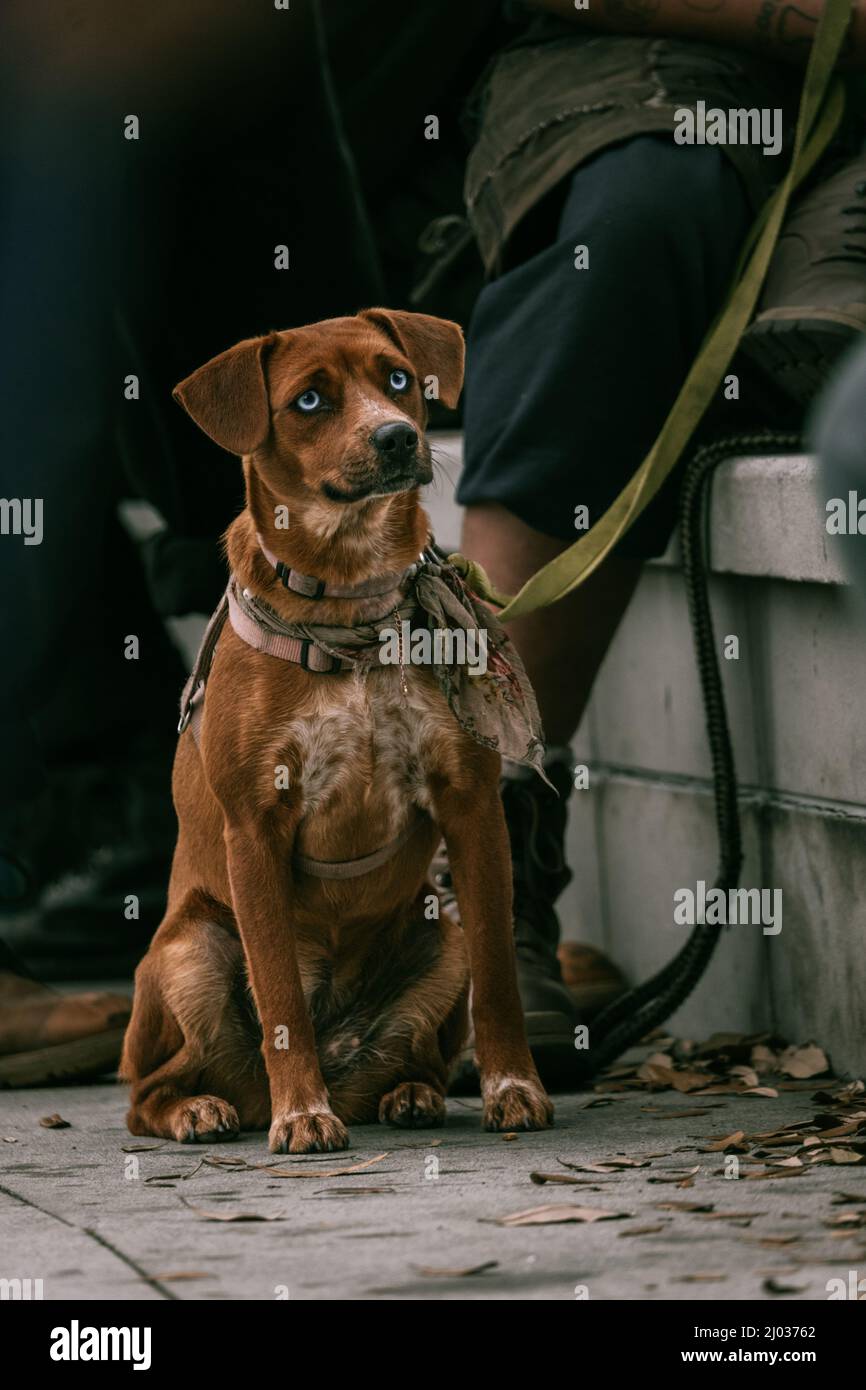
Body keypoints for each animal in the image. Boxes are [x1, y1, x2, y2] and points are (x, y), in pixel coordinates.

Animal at [120, 309, 556, 1156]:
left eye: (398, 377)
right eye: (310, 400)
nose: (395, 436)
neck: (351, 599)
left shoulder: (472, 807)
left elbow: (499, 977)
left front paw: (514, 1087)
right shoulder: (255, 829)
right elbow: (281, 997)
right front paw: (301, 1113)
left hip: (438, 938)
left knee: (413, 1050)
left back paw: (409, 1093)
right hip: (190, 950)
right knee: (148, 1090)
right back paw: (203, 1109)